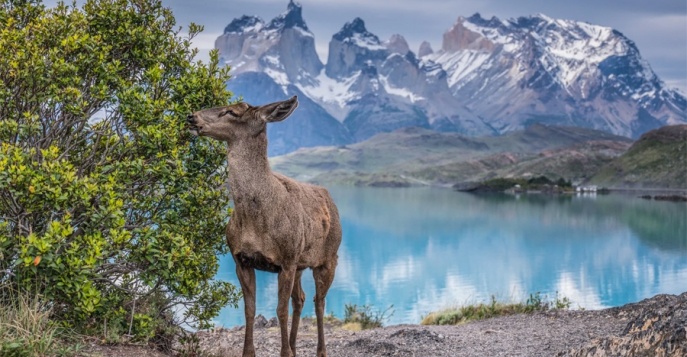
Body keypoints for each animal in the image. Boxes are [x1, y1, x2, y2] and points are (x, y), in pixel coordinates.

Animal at [188, 95, 342, 356]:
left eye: (232, 112)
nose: (192, 116)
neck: (255, 221)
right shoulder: (242, 259)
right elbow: (249, 309)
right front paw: (249, 352)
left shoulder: (286, 260)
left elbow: (280, 311)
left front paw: (285, 353)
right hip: (300, 264)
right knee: (300, 299)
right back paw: (294, 346)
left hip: (327, 258)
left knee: (319, 302)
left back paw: (319, 350)